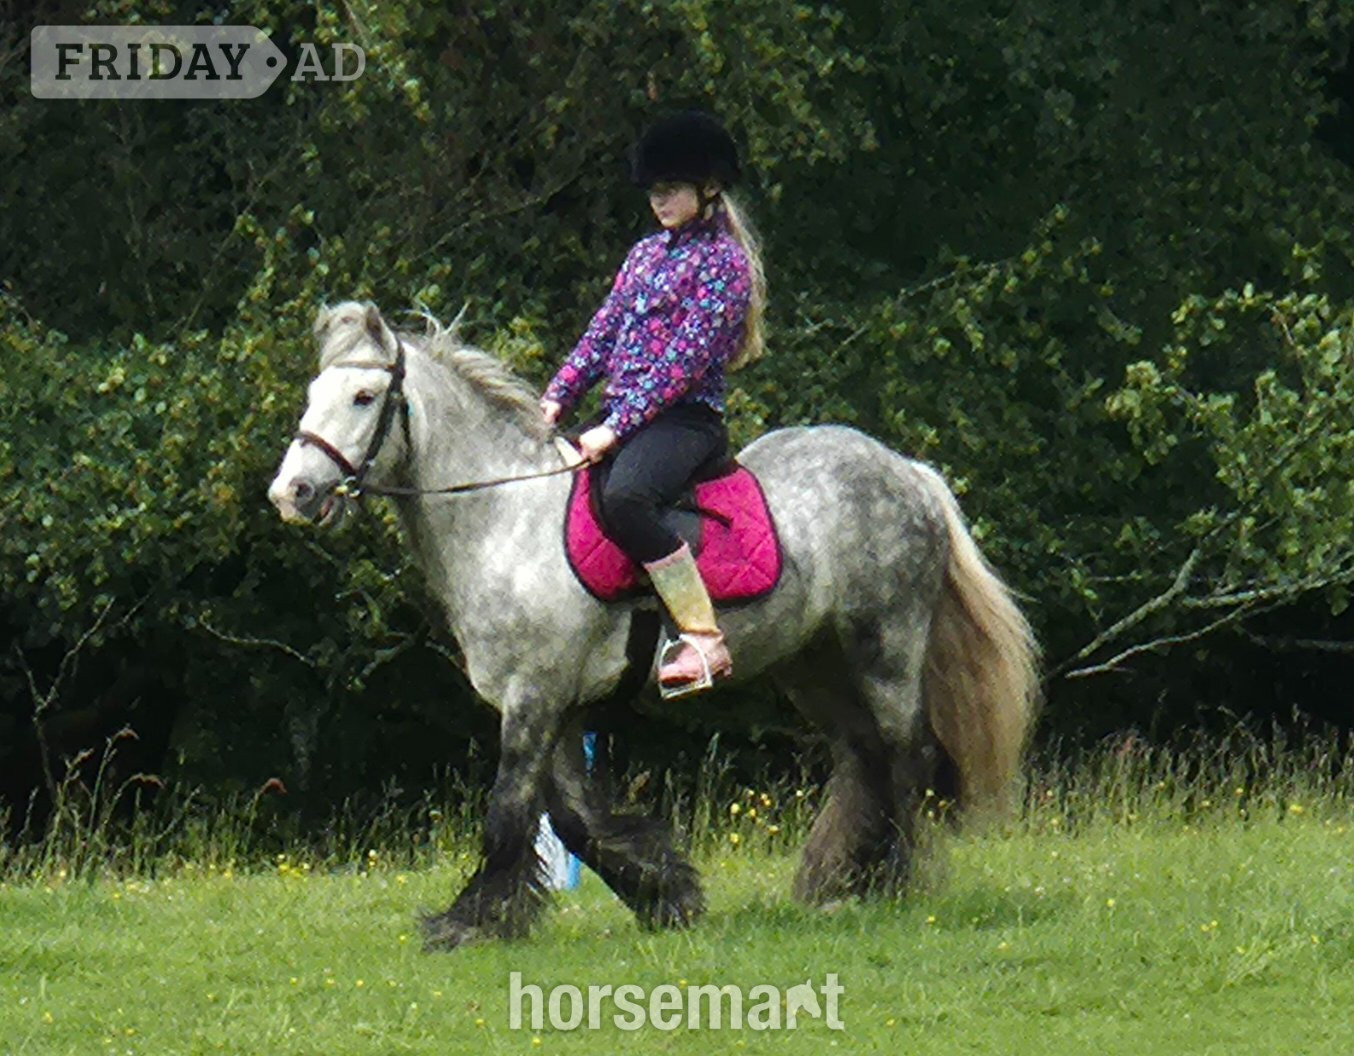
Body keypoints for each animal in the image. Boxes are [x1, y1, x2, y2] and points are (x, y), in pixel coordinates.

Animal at [267, 300, 1039, 949]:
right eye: (314, 395)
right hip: (813, 663)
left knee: (905, 753)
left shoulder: (535, 696)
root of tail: (907, 471)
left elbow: (510, 808)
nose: (292, 494)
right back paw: (844, 879)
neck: (505, 521)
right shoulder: (560, 705)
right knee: (865, 755)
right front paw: (664, 893)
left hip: (885, 644)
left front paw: (470, 922)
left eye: (364, 398)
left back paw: (897, 882)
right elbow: (572, 820)